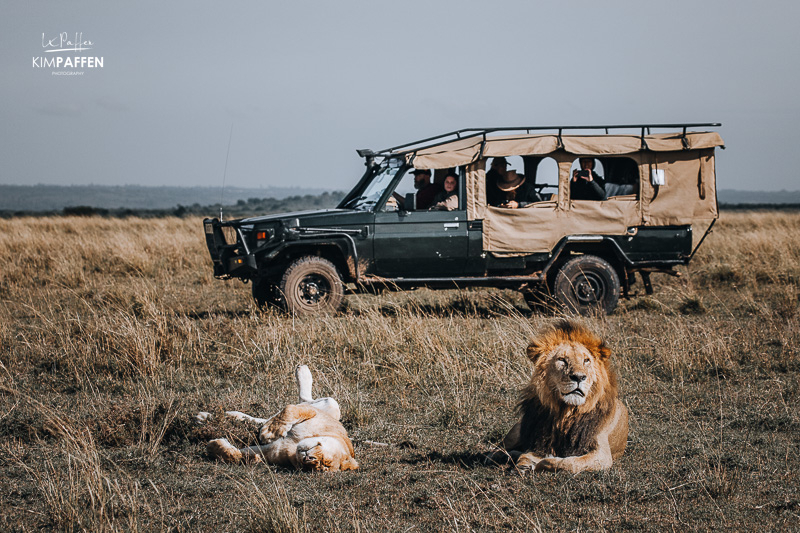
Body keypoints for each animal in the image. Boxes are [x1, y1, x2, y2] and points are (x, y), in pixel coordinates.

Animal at [205, 364, 358, 472]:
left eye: (320, 467)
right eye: (325, 461)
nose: (309, 459)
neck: (296, 443)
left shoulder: (270, 452)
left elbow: (237, 455)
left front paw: (214, 446)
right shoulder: (313, 412)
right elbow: (290, 410)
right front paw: (269, 433)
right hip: (331, 406)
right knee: (304, 399)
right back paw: (302, 370)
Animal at [496, 318, 628, 472]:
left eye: (586, 360)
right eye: (562, 360)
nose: (578, 377)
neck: (566, 412)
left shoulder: (603, 454)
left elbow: (569, 463)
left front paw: (543, 461)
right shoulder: (540, 441)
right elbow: (530, 454)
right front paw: (525, 462)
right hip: (516, 431)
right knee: (499, 447)